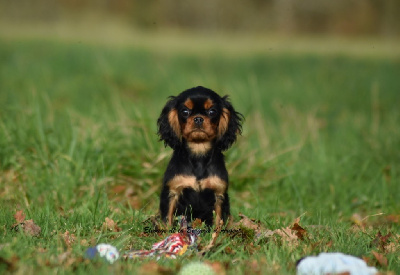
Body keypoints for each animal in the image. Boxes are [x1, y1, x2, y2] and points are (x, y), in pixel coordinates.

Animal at [158, 87, 242, 227]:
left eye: (212, 111)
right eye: (185, 111)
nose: (198, 119)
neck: (198, 152)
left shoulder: (219, 194)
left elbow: (218, 221)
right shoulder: (172, 191)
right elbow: (167, 218)